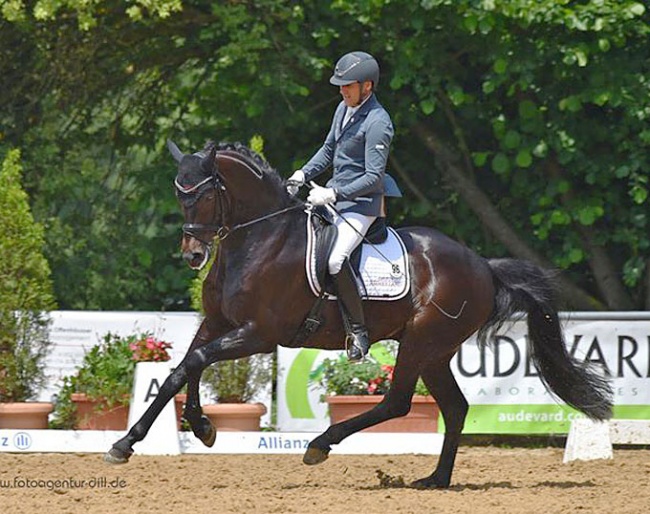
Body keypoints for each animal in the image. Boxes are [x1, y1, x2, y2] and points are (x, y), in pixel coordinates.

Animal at [104, 140, 612, 488]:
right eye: (179, 195)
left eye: (205, 195)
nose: (193, 255)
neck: (257, 240)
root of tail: (483, 266)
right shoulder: (218, 324)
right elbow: (181, 370)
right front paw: (183, 430)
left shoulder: (258, 334)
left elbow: (192, 362)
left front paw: (147, 439)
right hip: (434, 351)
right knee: (455, 407)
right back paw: (435, 479)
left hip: (421, 342)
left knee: (398, 402)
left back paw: (319, 445)